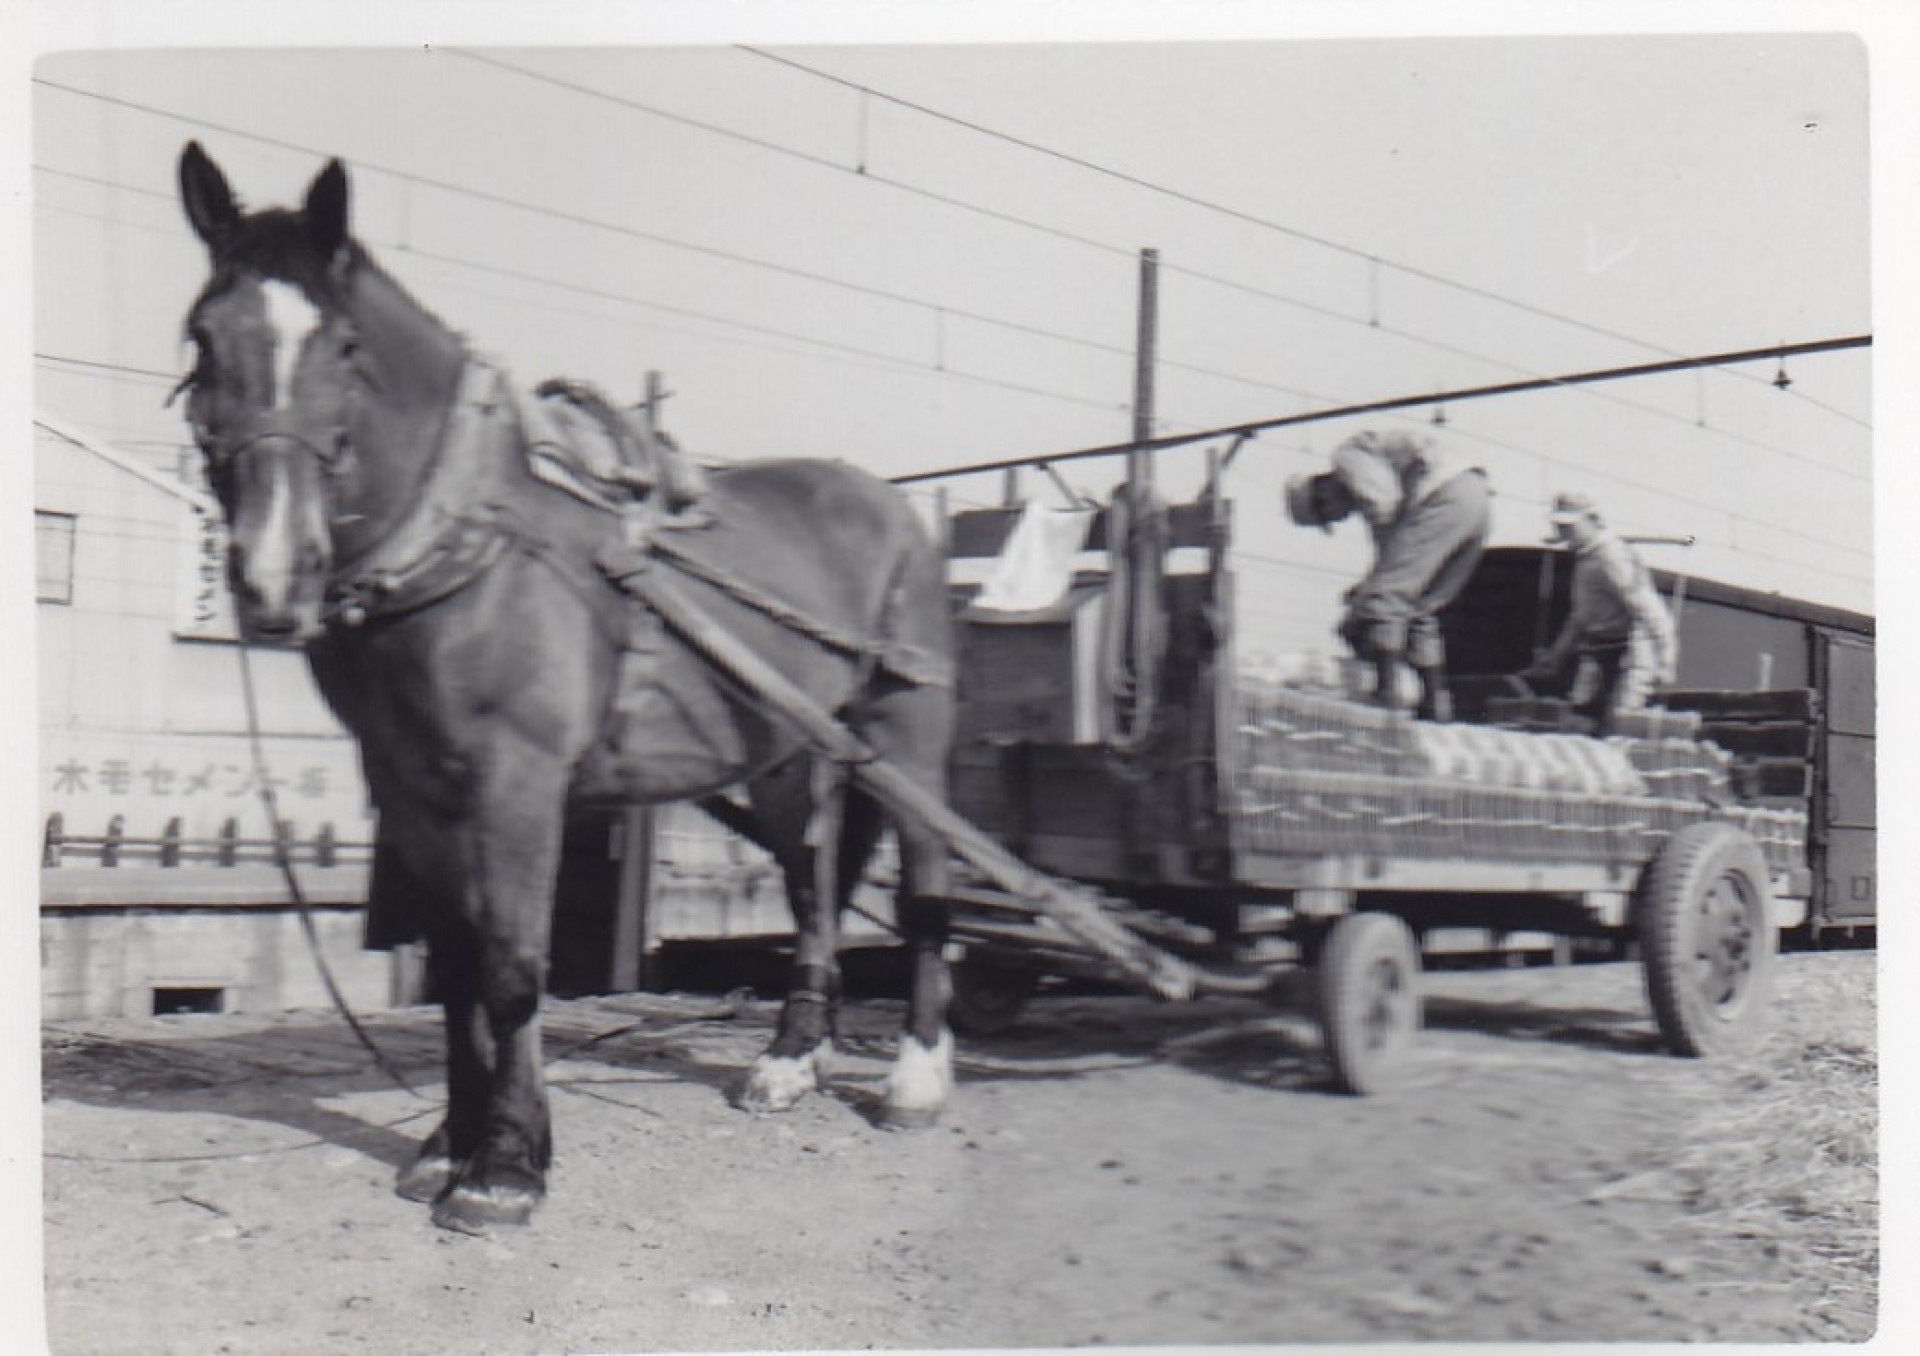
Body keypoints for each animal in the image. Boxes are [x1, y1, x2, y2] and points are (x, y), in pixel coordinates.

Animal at [172, 142, 967, 1229]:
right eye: (203, 336)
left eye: (342, 345)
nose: (268, 575)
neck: (472, 538)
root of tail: (891, 504)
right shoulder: (413, 788)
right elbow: (457, 967)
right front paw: (448, 1143)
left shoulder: (519, 784)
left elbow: (511, 967)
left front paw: (506, 1165)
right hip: (787, 749)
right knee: (813, 882)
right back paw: (789, 1059)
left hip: (907, 734)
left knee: (926, 886)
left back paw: (917, 1078)